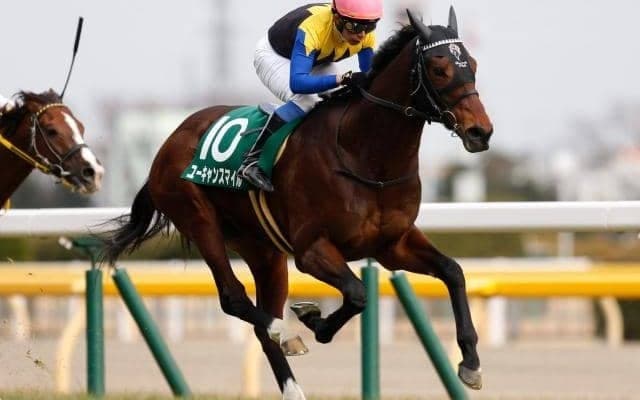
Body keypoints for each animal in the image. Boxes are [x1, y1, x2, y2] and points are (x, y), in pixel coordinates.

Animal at [101, 8, 493, 398]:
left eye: (473, 64)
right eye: (439, 68)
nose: (481, 132)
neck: (366, 155)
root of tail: (169, 142)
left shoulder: (392, 245)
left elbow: (452, 272)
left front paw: (471, 363)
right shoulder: (312, 249)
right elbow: (357, 294)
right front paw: (312, 320)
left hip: (263, 250)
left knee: (261, 322)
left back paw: (292, 381)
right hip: (199, 220)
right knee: (234, 297)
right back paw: (285, 329)